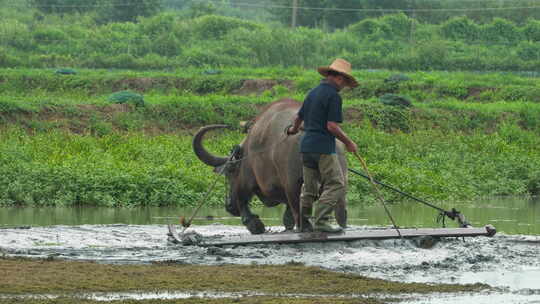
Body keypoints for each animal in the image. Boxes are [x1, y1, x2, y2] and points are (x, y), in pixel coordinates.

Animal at [192, 98, 348, 234]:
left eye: (229, 172)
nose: (229, 207)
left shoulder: (247, 181)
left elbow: (243, 202)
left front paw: (255, 225)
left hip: (292, 181)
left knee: (299, 205)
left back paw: (305, 227)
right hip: (338, 174)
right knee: (337, 202)